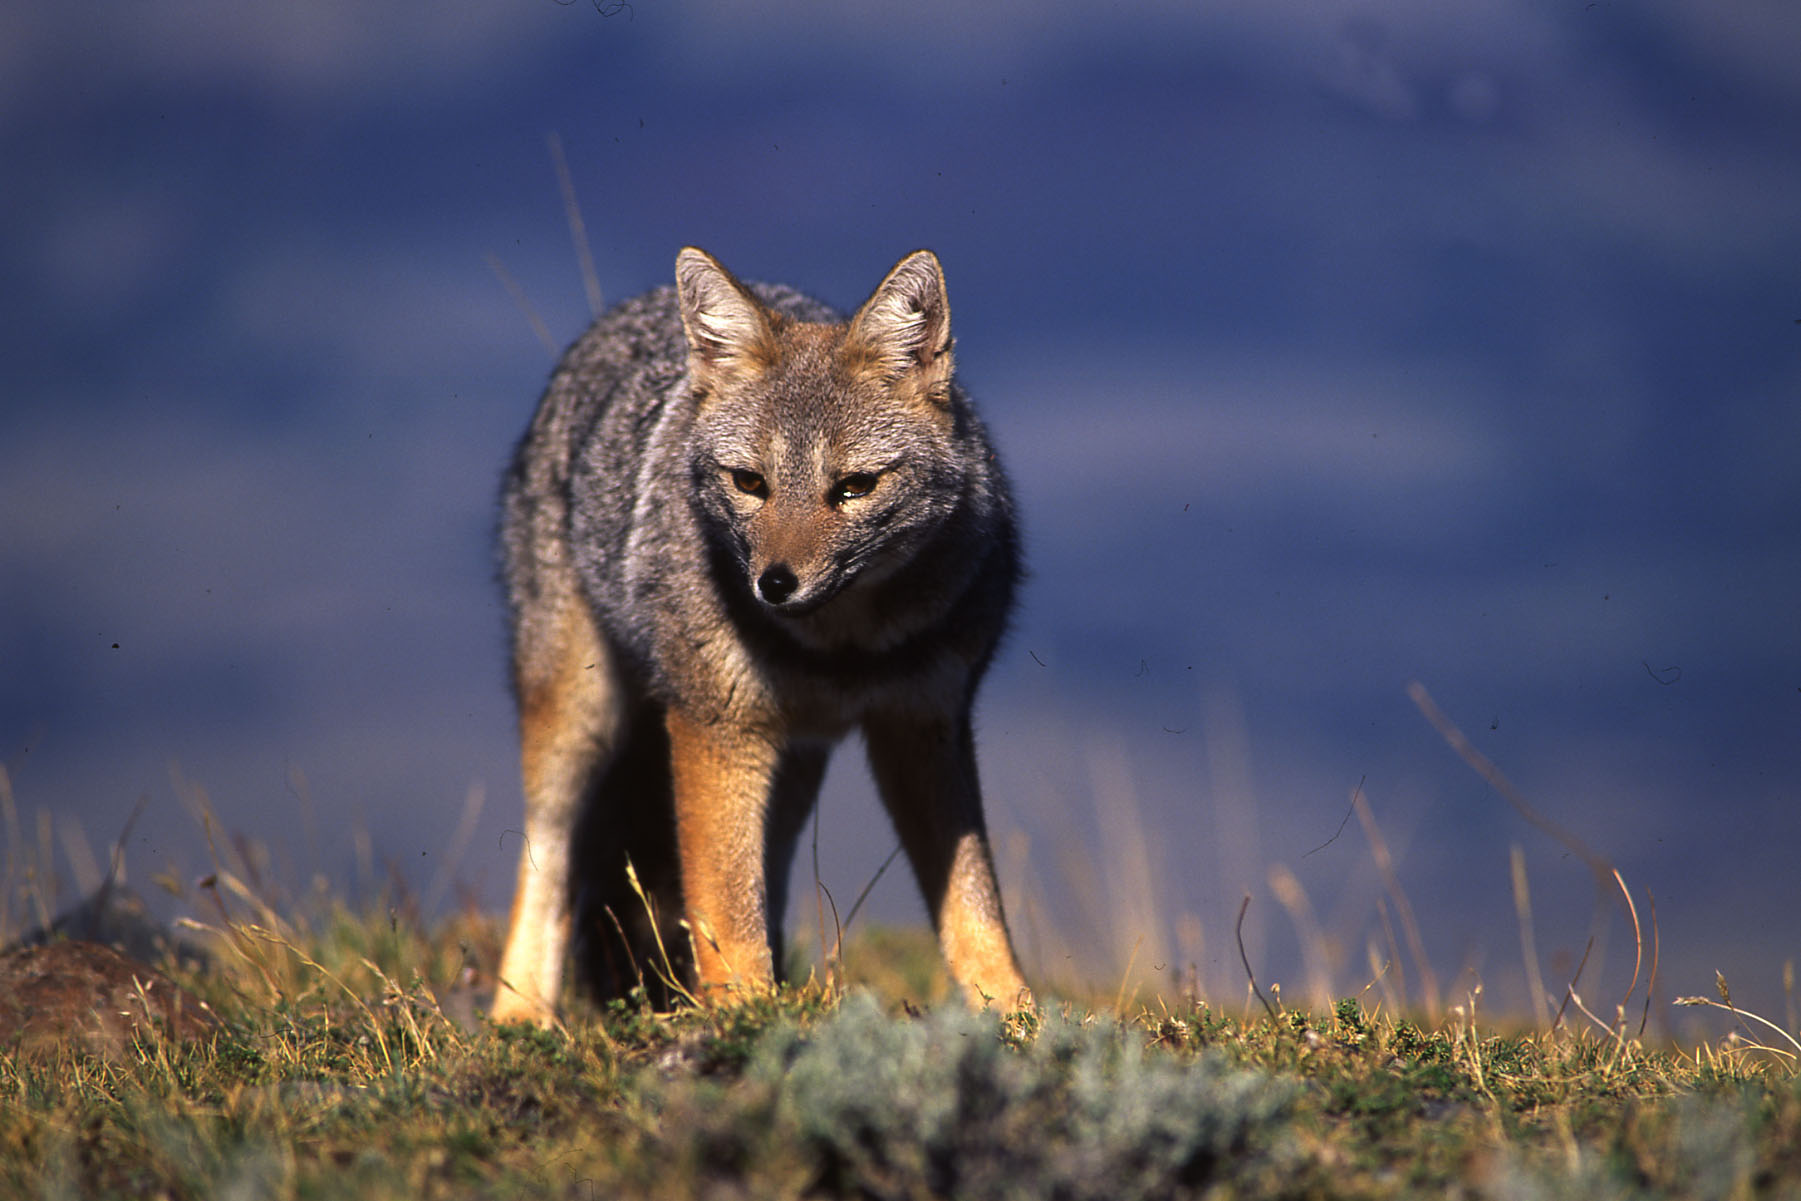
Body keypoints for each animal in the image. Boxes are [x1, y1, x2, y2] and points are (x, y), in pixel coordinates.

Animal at [489, 246, 1030, 1022]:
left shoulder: (924, 724)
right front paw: (740, 1015)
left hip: (792, 763)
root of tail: (625, 311)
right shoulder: (714, 728)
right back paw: (519, 1017)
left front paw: (1014, 1012)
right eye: (750, 483)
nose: (773, 584)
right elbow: (723, 903)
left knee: (763, 871)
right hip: (579, 725)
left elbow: (973, 900)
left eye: (854, 487)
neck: (842, 652)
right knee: (549, 860)